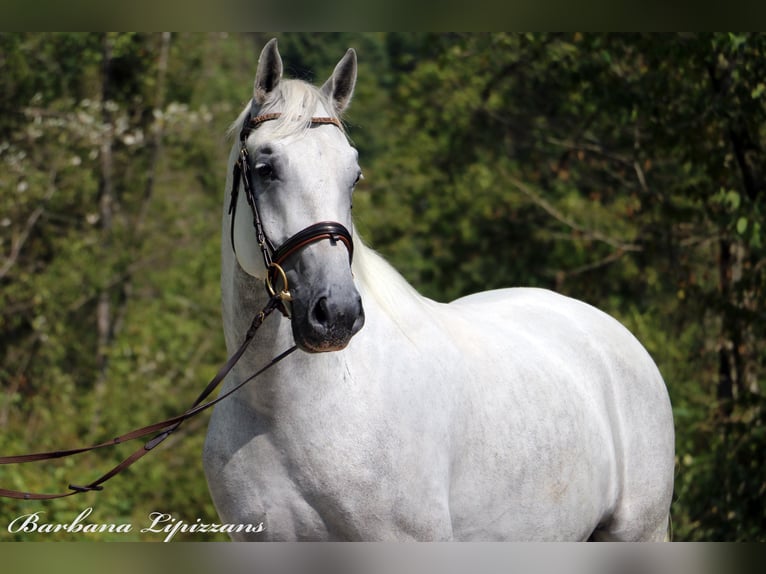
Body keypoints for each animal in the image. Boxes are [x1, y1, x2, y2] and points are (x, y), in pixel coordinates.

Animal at [204, 38, 680, 544]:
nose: (336, 314)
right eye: (265, 167)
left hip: (641, 533)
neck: (288, 407)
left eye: (353, 175)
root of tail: (616, 337)